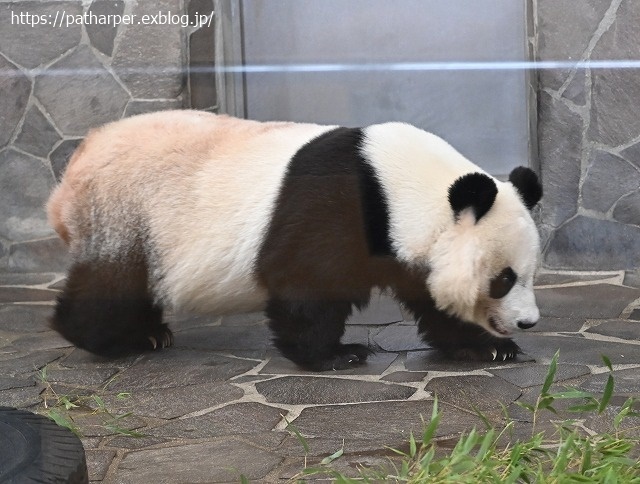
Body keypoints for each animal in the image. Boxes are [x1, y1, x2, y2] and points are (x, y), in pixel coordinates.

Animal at [47, 111, 544, 372]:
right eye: (503, 278)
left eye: (530, 274)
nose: (528, 323)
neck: (395, 184)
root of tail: (73, 170)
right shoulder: (336, 206)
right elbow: (308, 281)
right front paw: (338, 354)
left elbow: (430, 296)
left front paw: (489, 347)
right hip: (127, 208)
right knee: (112, 281)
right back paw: (117, 339)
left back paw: (152, 332)